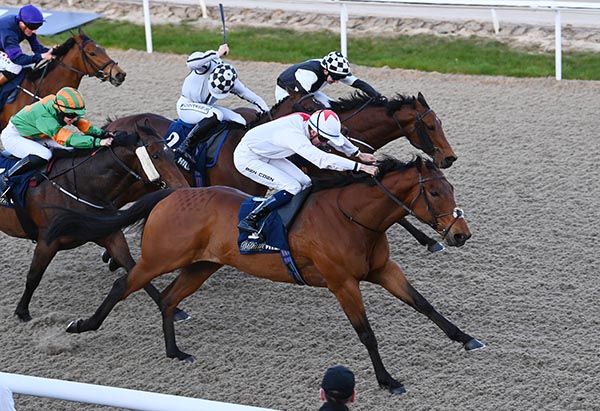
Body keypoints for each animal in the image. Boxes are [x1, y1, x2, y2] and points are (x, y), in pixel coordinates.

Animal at [0, 121, 188, 322]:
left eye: (172, 154)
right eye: (155, 155)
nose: (182, 188)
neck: (80, 186)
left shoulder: (109, 235)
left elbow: (132, 267)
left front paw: (176, 310)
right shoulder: (47, 242)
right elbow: (33, 277)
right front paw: (22, 311)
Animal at [45, 156, 485, 394]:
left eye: (450, 189)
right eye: (435, 193)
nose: (460, 234)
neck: (354, 218)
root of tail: (171, 193)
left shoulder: (382, 270)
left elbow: (424, 304)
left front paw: (467, 338)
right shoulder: (342, 283)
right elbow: (367, 333)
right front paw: (388, 380)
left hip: (202, 264)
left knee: (169, 298)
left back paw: (175, 352)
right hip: (160, 257)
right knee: (124, 283)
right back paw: (82, 325)